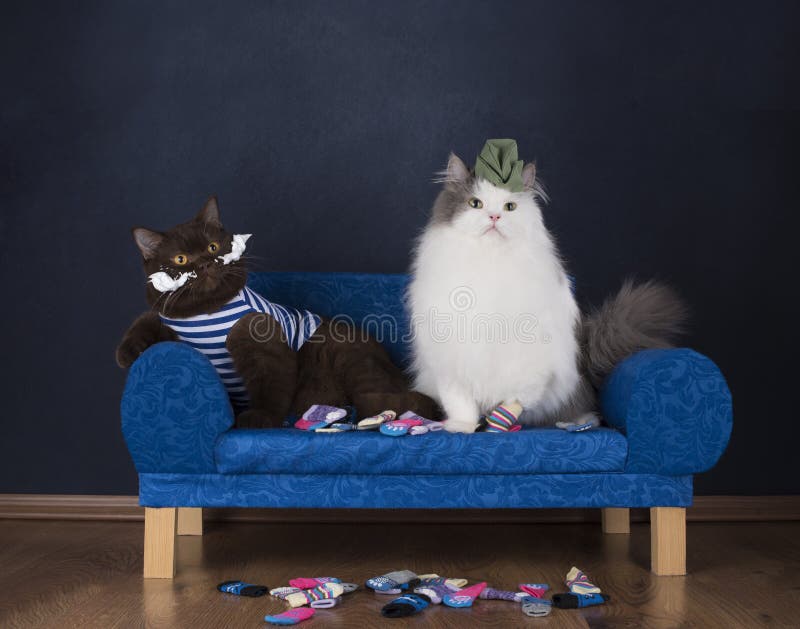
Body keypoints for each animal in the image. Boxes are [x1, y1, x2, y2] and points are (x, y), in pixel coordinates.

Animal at [115, 197, 434, 426]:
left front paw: (258, 419)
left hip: (351, 359)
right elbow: (148, 317)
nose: (205, 263)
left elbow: (270, 384)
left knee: (388, 401)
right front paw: (127, 353)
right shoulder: (173, 317)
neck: (206, 314)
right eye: (180, 259)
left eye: (213, 246)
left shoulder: (258, 337)